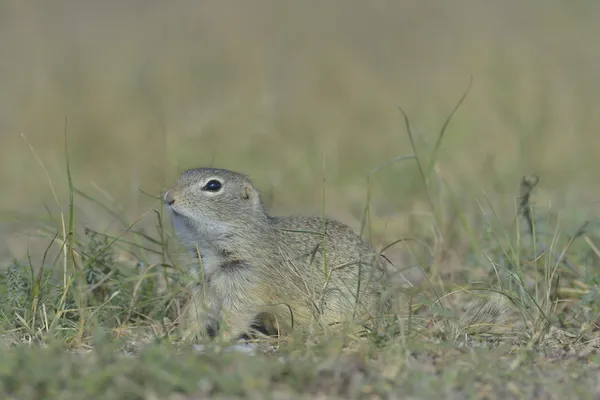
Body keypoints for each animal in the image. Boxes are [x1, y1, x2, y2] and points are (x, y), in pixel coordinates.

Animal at [165, 167, 390, 340]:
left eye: (213, 186)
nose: (168, 197)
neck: (210, 248)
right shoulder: (203, 282)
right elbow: (196, 312)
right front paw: (182, 336)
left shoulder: (248, 281)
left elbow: (237, 315)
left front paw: (220, 340)